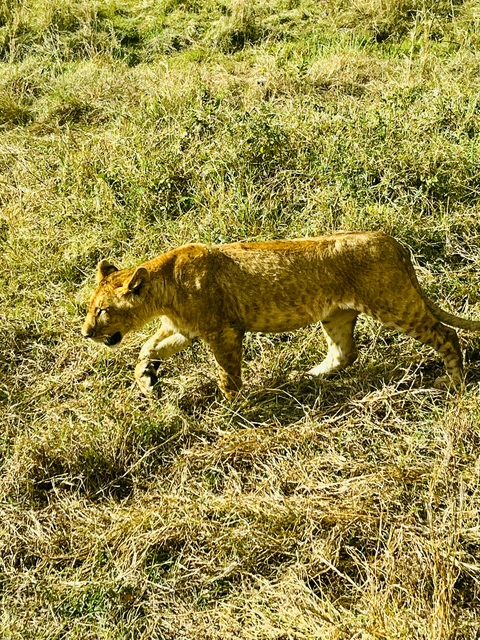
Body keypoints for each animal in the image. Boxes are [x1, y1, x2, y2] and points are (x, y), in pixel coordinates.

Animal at [81, 231, 480, 399]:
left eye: (102, 310)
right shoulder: (184, 330)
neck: (163, 290)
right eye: (89, 308)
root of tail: (391, 241)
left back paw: (453, 383)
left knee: (446, 334)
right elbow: (146, 348)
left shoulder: (224, 331)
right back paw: (309, 376)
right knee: (345, 352)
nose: (86, 333)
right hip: (337, 314)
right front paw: (148, 379)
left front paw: (231, 408)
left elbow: (228, 373)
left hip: (393, 303)